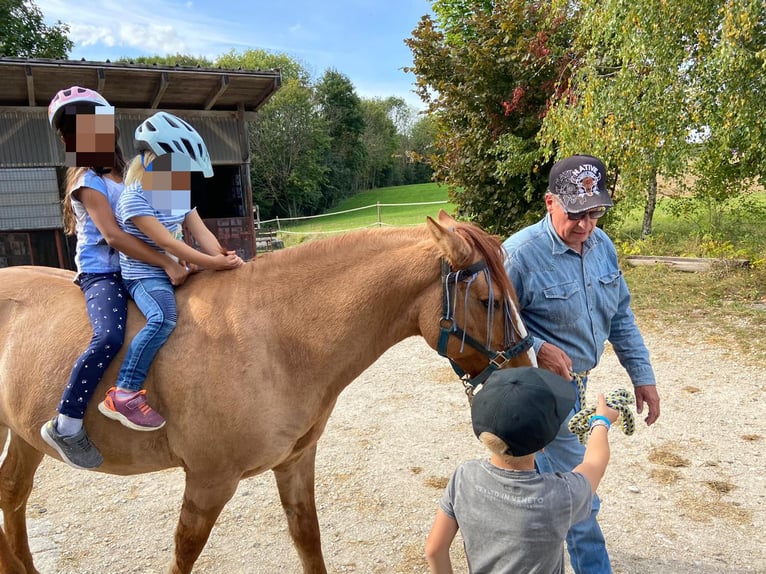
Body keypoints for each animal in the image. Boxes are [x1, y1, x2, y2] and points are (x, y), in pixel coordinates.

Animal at [0, 212, 536, 574]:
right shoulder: (208, 483)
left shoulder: (295, 464)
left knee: (13, 494)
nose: (525, 377)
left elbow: (308, 541)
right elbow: (184, 553)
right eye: (486, 300)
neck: (274, 337)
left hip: (25, 436)